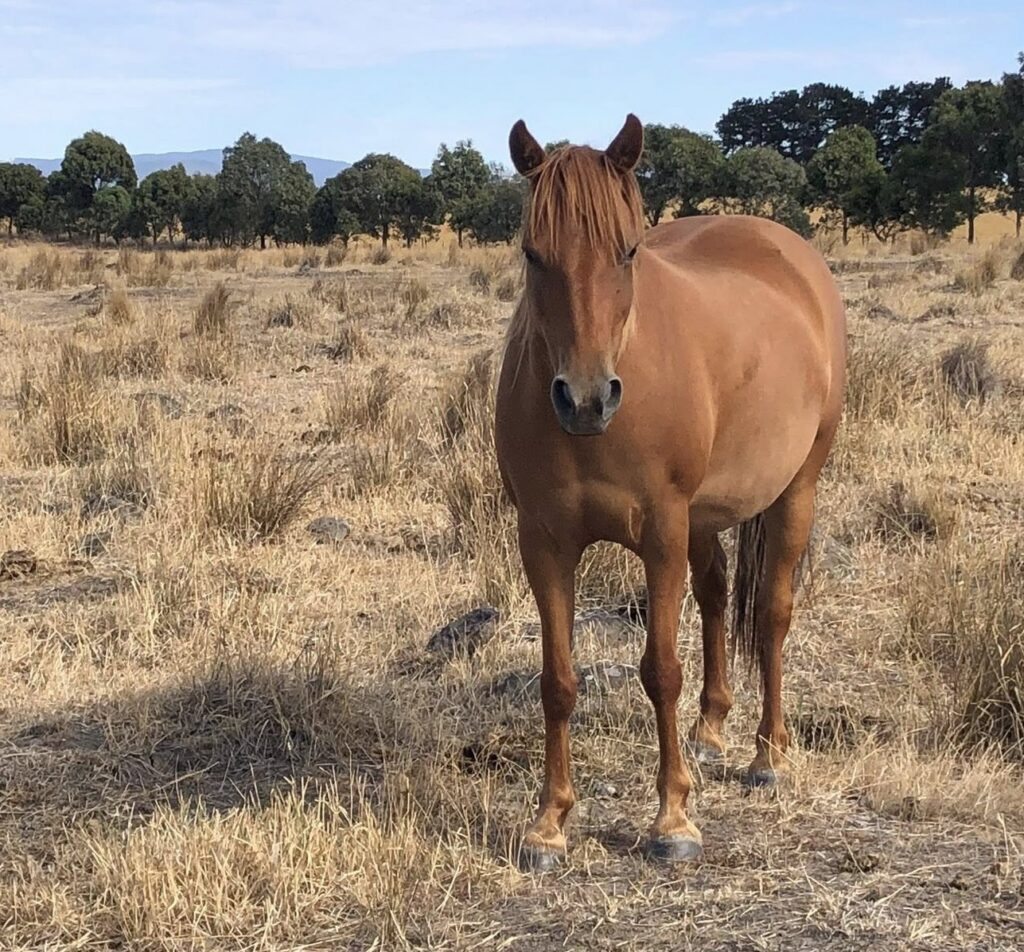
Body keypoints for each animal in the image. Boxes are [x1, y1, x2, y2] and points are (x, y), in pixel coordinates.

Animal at [494, 115, 847, 870]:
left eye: (628, 251)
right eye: (533, 254)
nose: (586, 399)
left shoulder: (660, 534)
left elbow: (660, 670)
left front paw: (673, 819)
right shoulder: (544, 541)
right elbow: (557, 681)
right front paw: (549, 823)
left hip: (795, 491)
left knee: (771, 613)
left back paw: (767, 754)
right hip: (705, 518)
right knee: (716, 595)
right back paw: (710, 732)